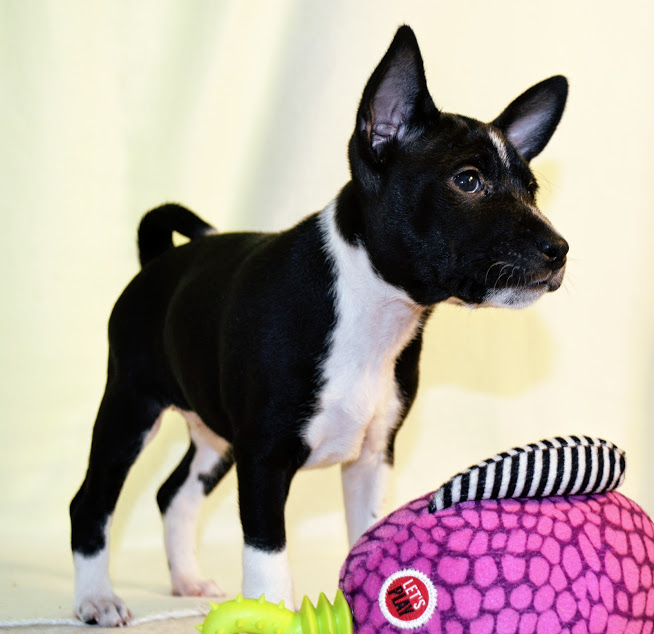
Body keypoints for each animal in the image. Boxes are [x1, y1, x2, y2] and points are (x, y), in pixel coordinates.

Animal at [70, 25, 568, 626]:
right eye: (468, 181)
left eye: (531, 191)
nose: (559, 249)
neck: (368, 307)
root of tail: (159, 261)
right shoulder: (264, 460)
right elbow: (268, 559)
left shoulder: (371, 460)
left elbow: (366, 538)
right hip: (130, 409)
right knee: (91, 503)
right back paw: (96, 598)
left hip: (215, 436)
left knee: (174, 495)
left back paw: (186, 578)